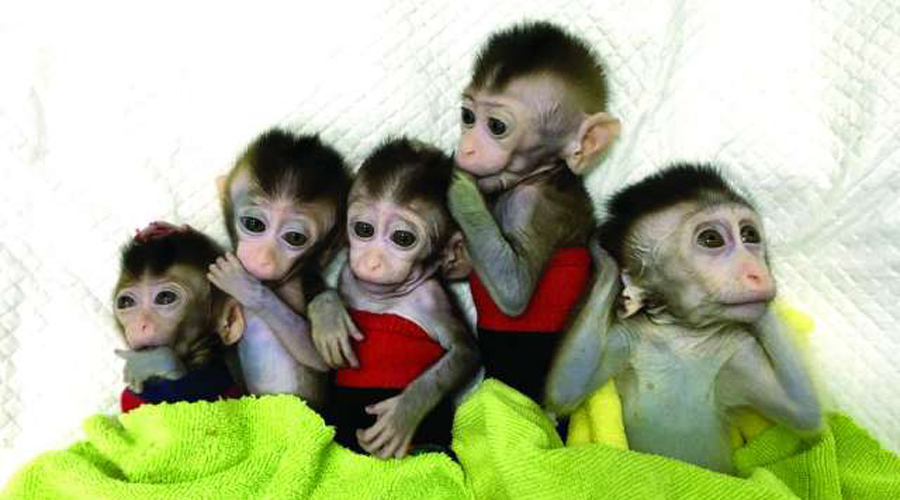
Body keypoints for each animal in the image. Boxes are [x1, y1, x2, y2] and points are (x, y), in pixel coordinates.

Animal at [311, 137, 479, 459]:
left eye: (403, 238)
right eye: (364, 229)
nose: (372, 261)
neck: (385, 299)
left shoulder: (434, 300)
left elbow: (465, 351)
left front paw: (404, 413)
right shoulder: (349, 276)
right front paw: (329, 318)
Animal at [446, 21, 622, 402]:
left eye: (496, 127)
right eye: (467, 117)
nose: (466, 149)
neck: (542, 172)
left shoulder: (531, 206)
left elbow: (514, 290)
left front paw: (459, 187)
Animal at [544, 164, 822, 474]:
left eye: (750, 235)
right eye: (711, 239)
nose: (758, 272)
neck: (683, 336)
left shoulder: (738, 350)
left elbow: (802, 410)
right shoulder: (626, 337)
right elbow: (565, 389)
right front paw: (603, 256)